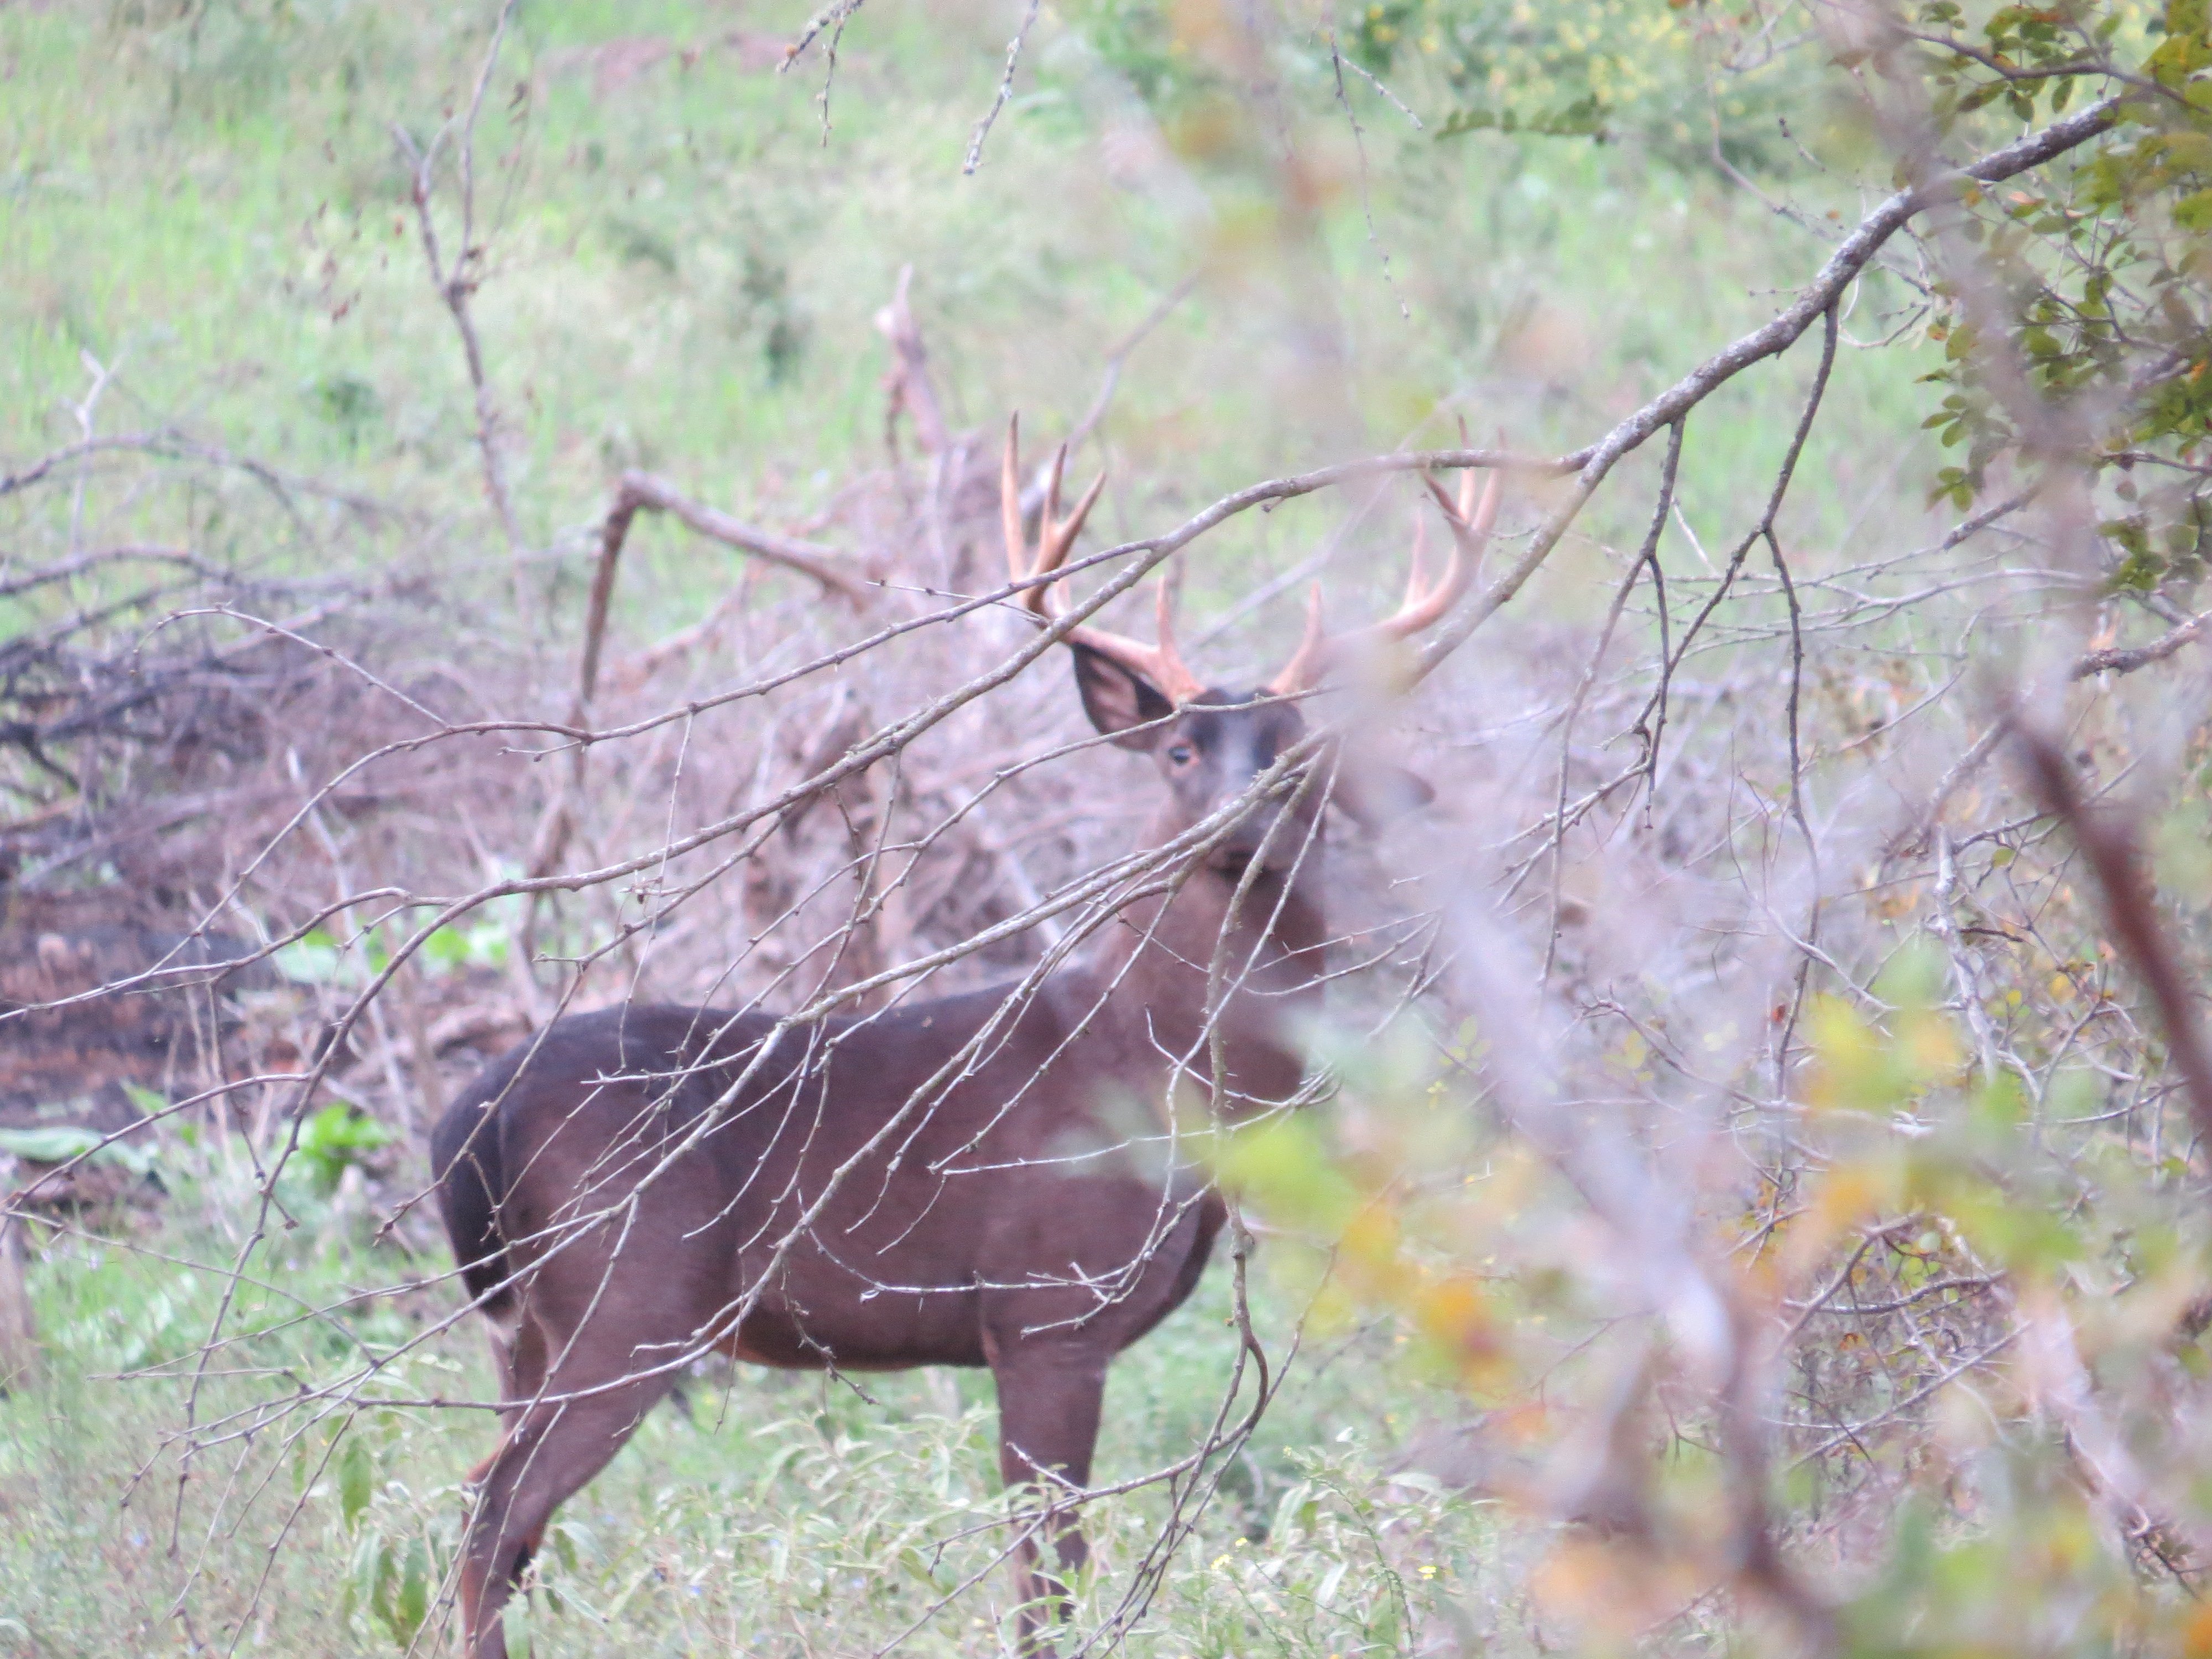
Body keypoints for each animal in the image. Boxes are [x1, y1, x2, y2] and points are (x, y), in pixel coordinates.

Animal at [427, 431, 1504, 1659]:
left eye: (1294, 753)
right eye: (1181, 749)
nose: (1246, 819)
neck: (1154, 1068)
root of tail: (472, 1117)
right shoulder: (1046, 1307)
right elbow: (1049, 1573)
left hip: (524, 1327)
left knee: (494, 1514)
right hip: (628, 1292)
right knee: (494, 1508)